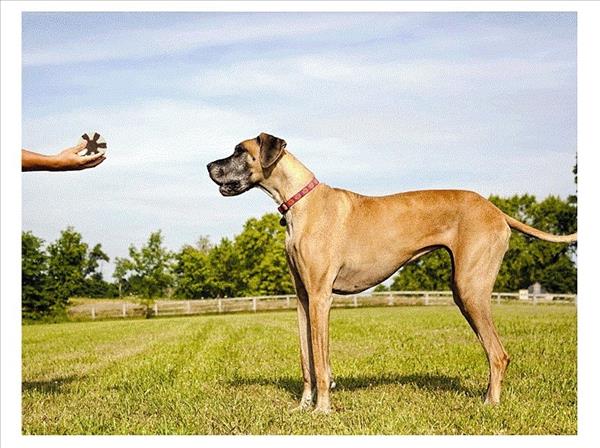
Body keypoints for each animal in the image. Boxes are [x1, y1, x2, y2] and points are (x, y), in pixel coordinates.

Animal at [207, 132, 576, 412]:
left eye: (240, 151)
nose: (208, 165)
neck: (300, 201)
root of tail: (496, 210)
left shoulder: (321, 297)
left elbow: (321, 363)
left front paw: (322, 409)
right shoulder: (302, 298)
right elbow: (306, 360)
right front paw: (302, 407)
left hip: (470, 289)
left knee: (498, 354)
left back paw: (490, 404)